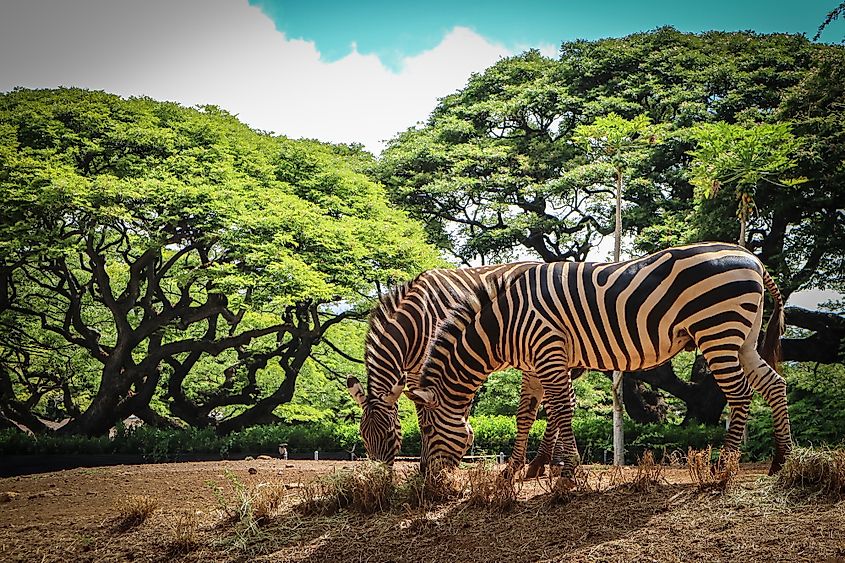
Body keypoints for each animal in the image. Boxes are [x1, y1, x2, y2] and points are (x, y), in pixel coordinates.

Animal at [346, 262, 572, 470]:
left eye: (390, 434)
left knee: (562, 401)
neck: (415, 321)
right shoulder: (415, 372)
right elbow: (424, 414)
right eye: (362, 436)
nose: (379, 476)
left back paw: (553, 462)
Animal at [408, 240, 792, 482]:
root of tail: (752, 257)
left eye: (426, 429)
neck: (505, 323)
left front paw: (568, 472)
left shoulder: (548, 349)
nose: (429, 478)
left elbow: (561, 409)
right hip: (743, 338)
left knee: (740, 393)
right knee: (774, 384)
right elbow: (526, 415)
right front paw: (513, 471)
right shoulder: (535, 363)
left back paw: (724, 467)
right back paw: (780, 461)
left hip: (717, 330)